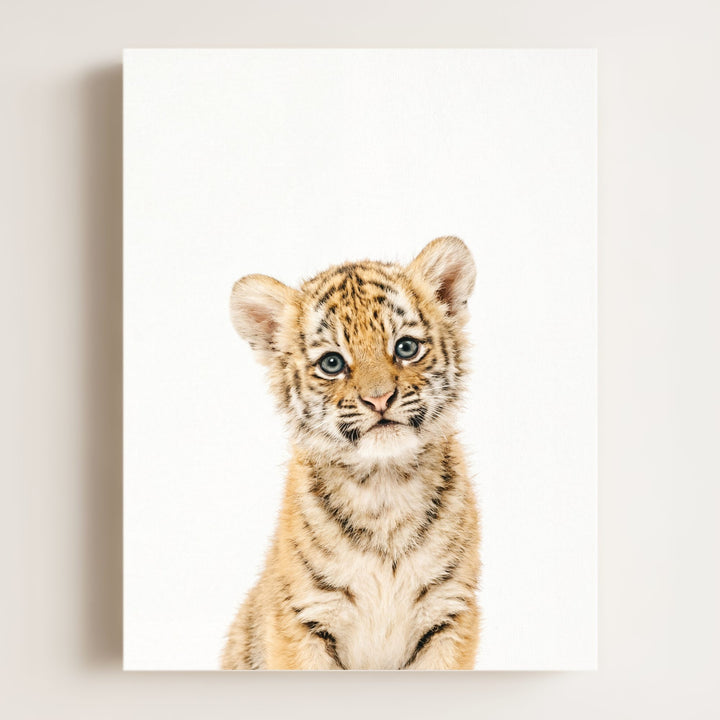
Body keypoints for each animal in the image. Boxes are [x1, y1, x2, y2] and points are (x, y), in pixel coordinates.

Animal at [221, 236, 480, 670]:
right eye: (332, 363)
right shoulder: (303, 618)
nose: (379, 399)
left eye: (405, 347)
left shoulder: (449, 613)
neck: (384, 485)